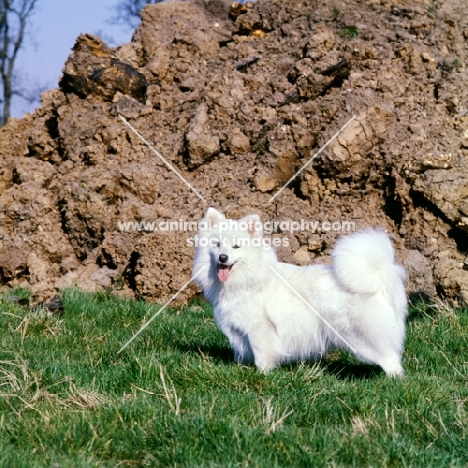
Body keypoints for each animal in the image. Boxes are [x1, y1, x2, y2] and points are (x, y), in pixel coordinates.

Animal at [192, 208, 408, 376]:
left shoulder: (260, 330)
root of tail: (377, 277)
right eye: (217, 244)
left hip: (359, 337)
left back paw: (393, 380)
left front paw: (261, 374)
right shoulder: (239, 332)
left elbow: (262, 354)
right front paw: (241, 368)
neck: (247, 279)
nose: (223, 257)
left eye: (236, 246)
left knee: (390, 358)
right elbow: (241, 353)